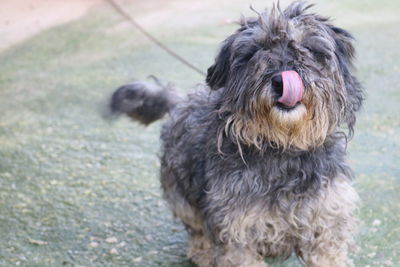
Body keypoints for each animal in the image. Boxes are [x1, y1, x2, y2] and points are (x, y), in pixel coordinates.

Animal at [108, 1, 362, 266]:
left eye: (310, 49)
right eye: (255, 52)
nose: (282, 80)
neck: (282, 147)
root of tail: (181, 101)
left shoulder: (327, 220)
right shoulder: (235, 228)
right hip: (183, 193)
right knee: (197, 228)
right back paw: (203, 254)